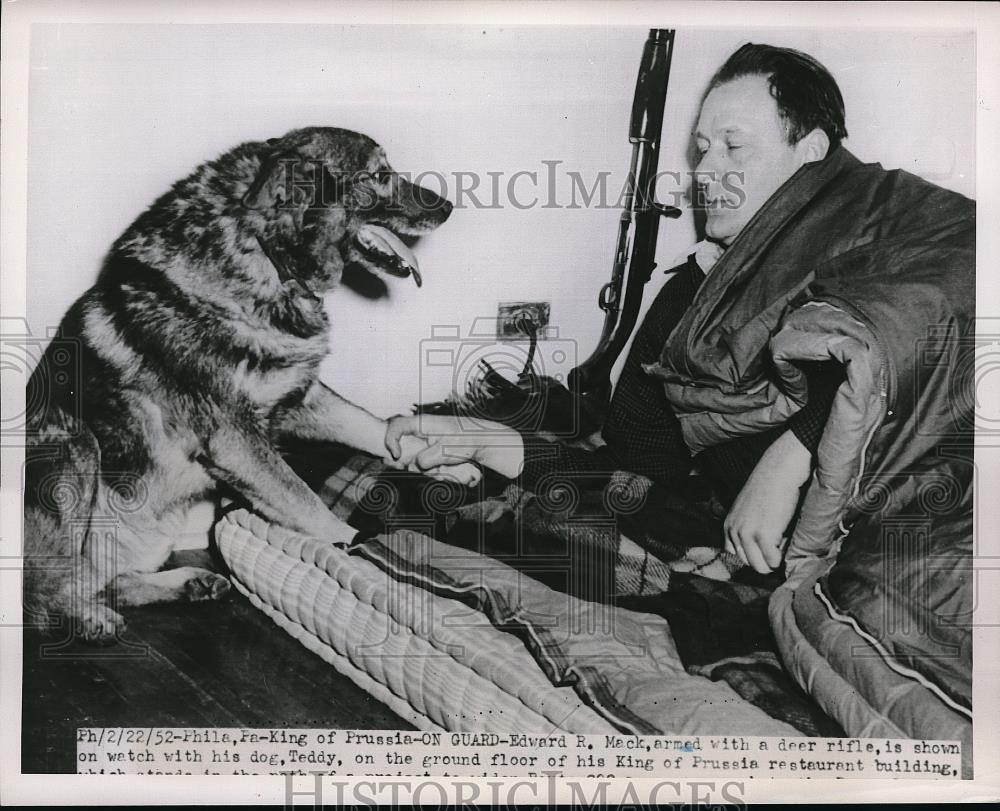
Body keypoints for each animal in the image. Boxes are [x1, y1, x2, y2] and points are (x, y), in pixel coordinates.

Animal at [23, 127, 454, 644]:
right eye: (377, 175)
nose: (448, 206)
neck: (266, 258)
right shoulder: (236, 440)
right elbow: (309, 505)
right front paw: (357, 550)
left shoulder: (301, 397)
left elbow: (372, 426)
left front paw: (446, 461)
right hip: (76, 447)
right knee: (44, 598)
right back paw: (89, 618)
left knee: (108, 581)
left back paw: (187, 583)